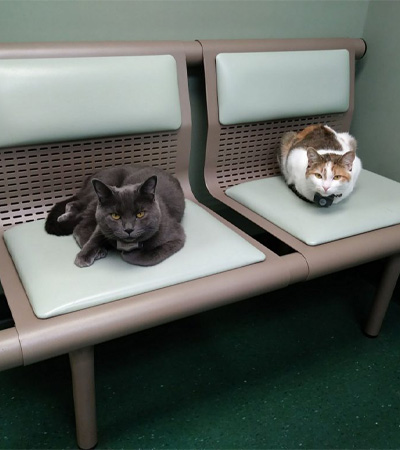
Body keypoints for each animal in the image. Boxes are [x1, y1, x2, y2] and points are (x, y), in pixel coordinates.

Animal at [44, 167, 185, 268]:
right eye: (115, 216)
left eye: (140, 214)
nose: (128, 229)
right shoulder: (102, 225)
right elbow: (95, 237)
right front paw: (83, 256)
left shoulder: (177, 237)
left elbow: (150, 256)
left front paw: (128, 253)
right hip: (96, 197)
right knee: (78, 223)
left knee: (76, 210)